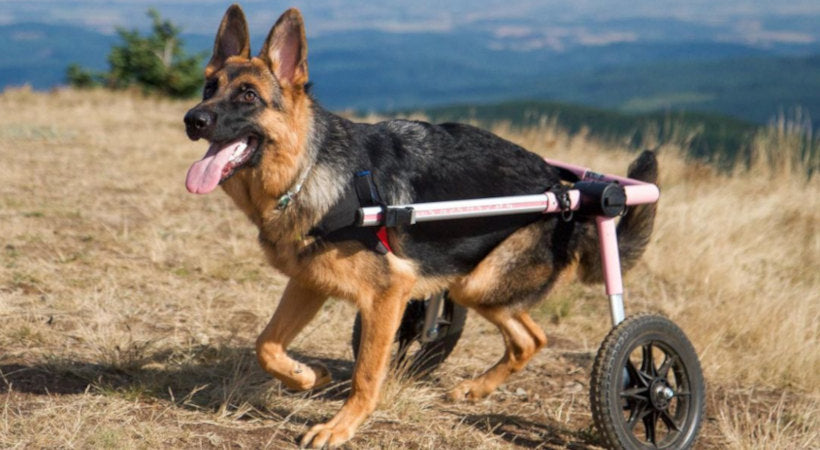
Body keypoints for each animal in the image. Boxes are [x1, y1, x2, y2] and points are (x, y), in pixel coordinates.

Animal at [183, 5, 656, 448]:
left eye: (248, 96)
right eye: (209, 89)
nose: (193, 119)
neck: (308, 168)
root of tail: (567, 192)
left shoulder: (386, 293)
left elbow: (365, 374)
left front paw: (339, 427)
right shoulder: (309, 283)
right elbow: (266, 344)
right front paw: (307, 375)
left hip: (479, 282)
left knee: (532, 336)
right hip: (470, 285)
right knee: (530, 338)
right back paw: (474, 389)